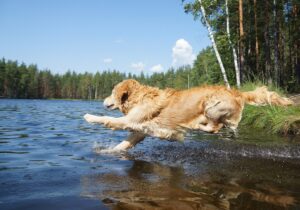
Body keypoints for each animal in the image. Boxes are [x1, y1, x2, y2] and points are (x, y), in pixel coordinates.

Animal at [84, 79, 292, 151]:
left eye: (112, 92)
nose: (103, 101)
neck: (139, 98)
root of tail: (237, 92)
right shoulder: (140, 130)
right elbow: (124, 144)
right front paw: (109, 152)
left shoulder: (130, 120)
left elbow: (108, 119)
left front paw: (89, 117)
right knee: (219, 127)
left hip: (211, 106)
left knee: (214, 127)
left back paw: (194, 126)